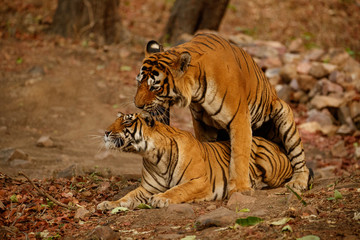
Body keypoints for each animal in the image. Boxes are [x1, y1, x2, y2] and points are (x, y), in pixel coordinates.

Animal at [96, 111, 296, 209]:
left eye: (127, 122)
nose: (105, 132)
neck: (153, 157)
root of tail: (276, 144)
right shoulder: (147, 188)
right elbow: (128, 196)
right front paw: (108, 204)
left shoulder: (199, 181)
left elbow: (178, 190)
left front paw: (160, 199)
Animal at [132, 31, 312, 193]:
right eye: (139, 82)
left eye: (154, 87)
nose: (137, 105)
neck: (196, 89)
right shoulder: (202, 122)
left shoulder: (239, 118)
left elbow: (240, 155)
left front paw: (239, 188)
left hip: (284, 113)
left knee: (299, 159)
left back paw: (298, 182)